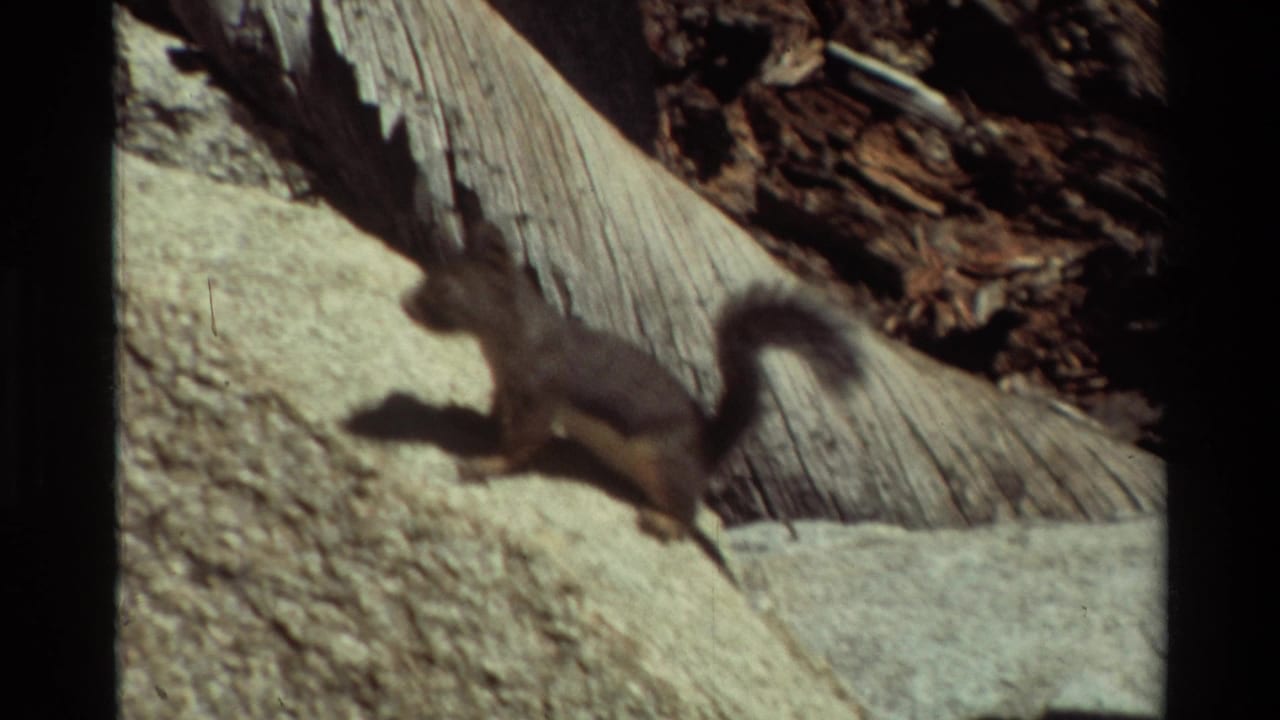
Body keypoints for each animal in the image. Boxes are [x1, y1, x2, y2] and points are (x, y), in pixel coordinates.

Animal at [401, 220, 860, 542]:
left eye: (447, 288)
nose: (406, 304)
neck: (505, 339)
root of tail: (707, 447)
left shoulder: (540, 389)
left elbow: (525, 440)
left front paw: (484, 464)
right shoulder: (507, 384)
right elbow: (498, 410)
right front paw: (472, 422)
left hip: (661, 461)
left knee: (688, 510)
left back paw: (663, 523)